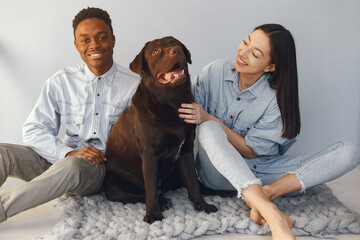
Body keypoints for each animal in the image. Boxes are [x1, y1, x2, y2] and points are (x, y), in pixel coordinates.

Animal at [104, 36, 217, 224]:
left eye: (177, 44)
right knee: (146, 192)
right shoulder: (150, 154)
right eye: (156, 51)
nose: (176, 50)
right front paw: (153, 214)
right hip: (114, 187)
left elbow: (193, 182)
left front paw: (202, 206)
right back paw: (162, 202)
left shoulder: (186, 150)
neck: (171, 103)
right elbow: (150, 187)